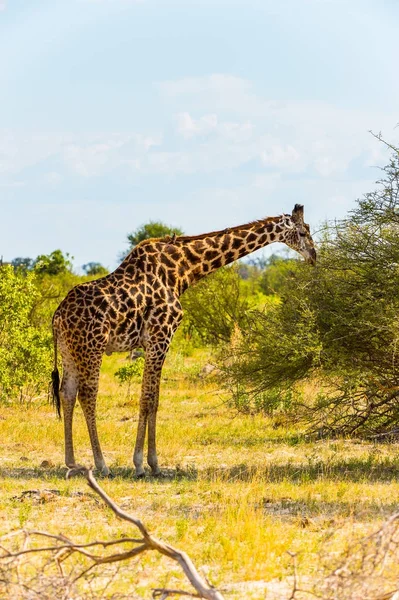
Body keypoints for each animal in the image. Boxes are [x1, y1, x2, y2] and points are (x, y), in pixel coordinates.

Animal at [51, 204, 318, 476]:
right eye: (303, 232)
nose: (314, 255)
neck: (182, 271)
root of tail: (58, 316)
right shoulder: (159, 338)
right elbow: (147, 398)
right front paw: (142, 464)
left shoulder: (157, 343)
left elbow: (155, 399)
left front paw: (152, 463)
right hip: (91, 347)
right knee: (87, 394)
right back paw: (102, 465)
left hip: (69, 350)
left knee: (66, 393)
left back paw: (72, 462)